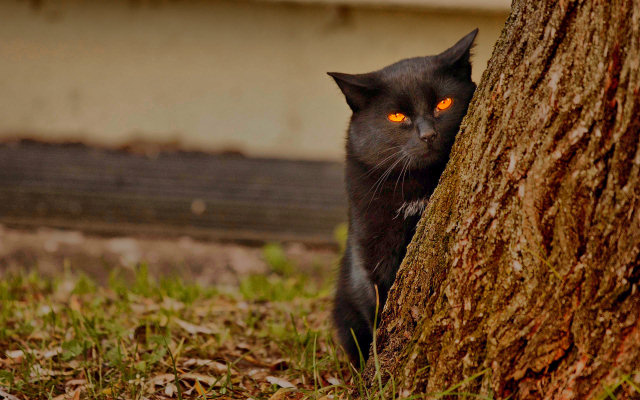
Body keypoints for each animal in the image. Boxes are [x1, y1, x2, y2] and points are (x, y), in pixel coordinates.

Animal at [330, 28, 476, 366]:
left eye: (443, 103)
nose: (428, 134)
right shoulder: (369, 248)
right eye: (397, 116)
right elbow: (375, 302)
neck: (416, 189)